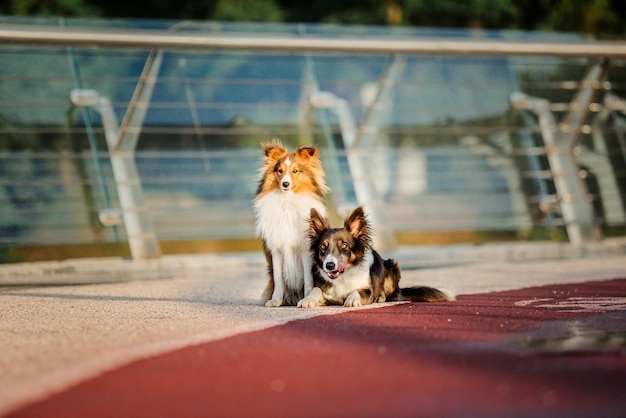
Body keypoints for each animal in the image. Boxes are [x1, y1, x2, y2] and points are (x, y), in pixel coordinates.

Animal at [255, 139, 332, 306]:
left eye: (295, 171)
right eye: (280, 171)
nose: (285, 184)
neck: (287, 202)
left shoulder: (305, 249)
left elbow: (309, 279)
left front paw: (307, 298)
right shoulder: (276, 249)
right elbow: (278, 279)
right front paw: (275, 300)